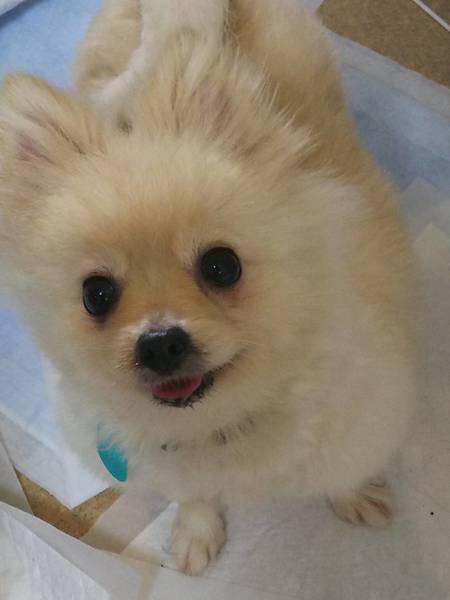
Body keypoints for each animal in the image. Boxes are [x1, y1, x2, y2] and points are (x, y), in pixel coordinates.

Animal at [0, 0, 416, 575]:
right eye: (96, 294)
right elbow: (193, 494)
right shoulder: (171, 466)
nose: (159, 344)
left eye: (222, 266)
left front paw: (353, 496)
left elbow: (341, 468)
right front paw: (197, 533)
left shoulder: (359, 415)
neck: (218, 422)